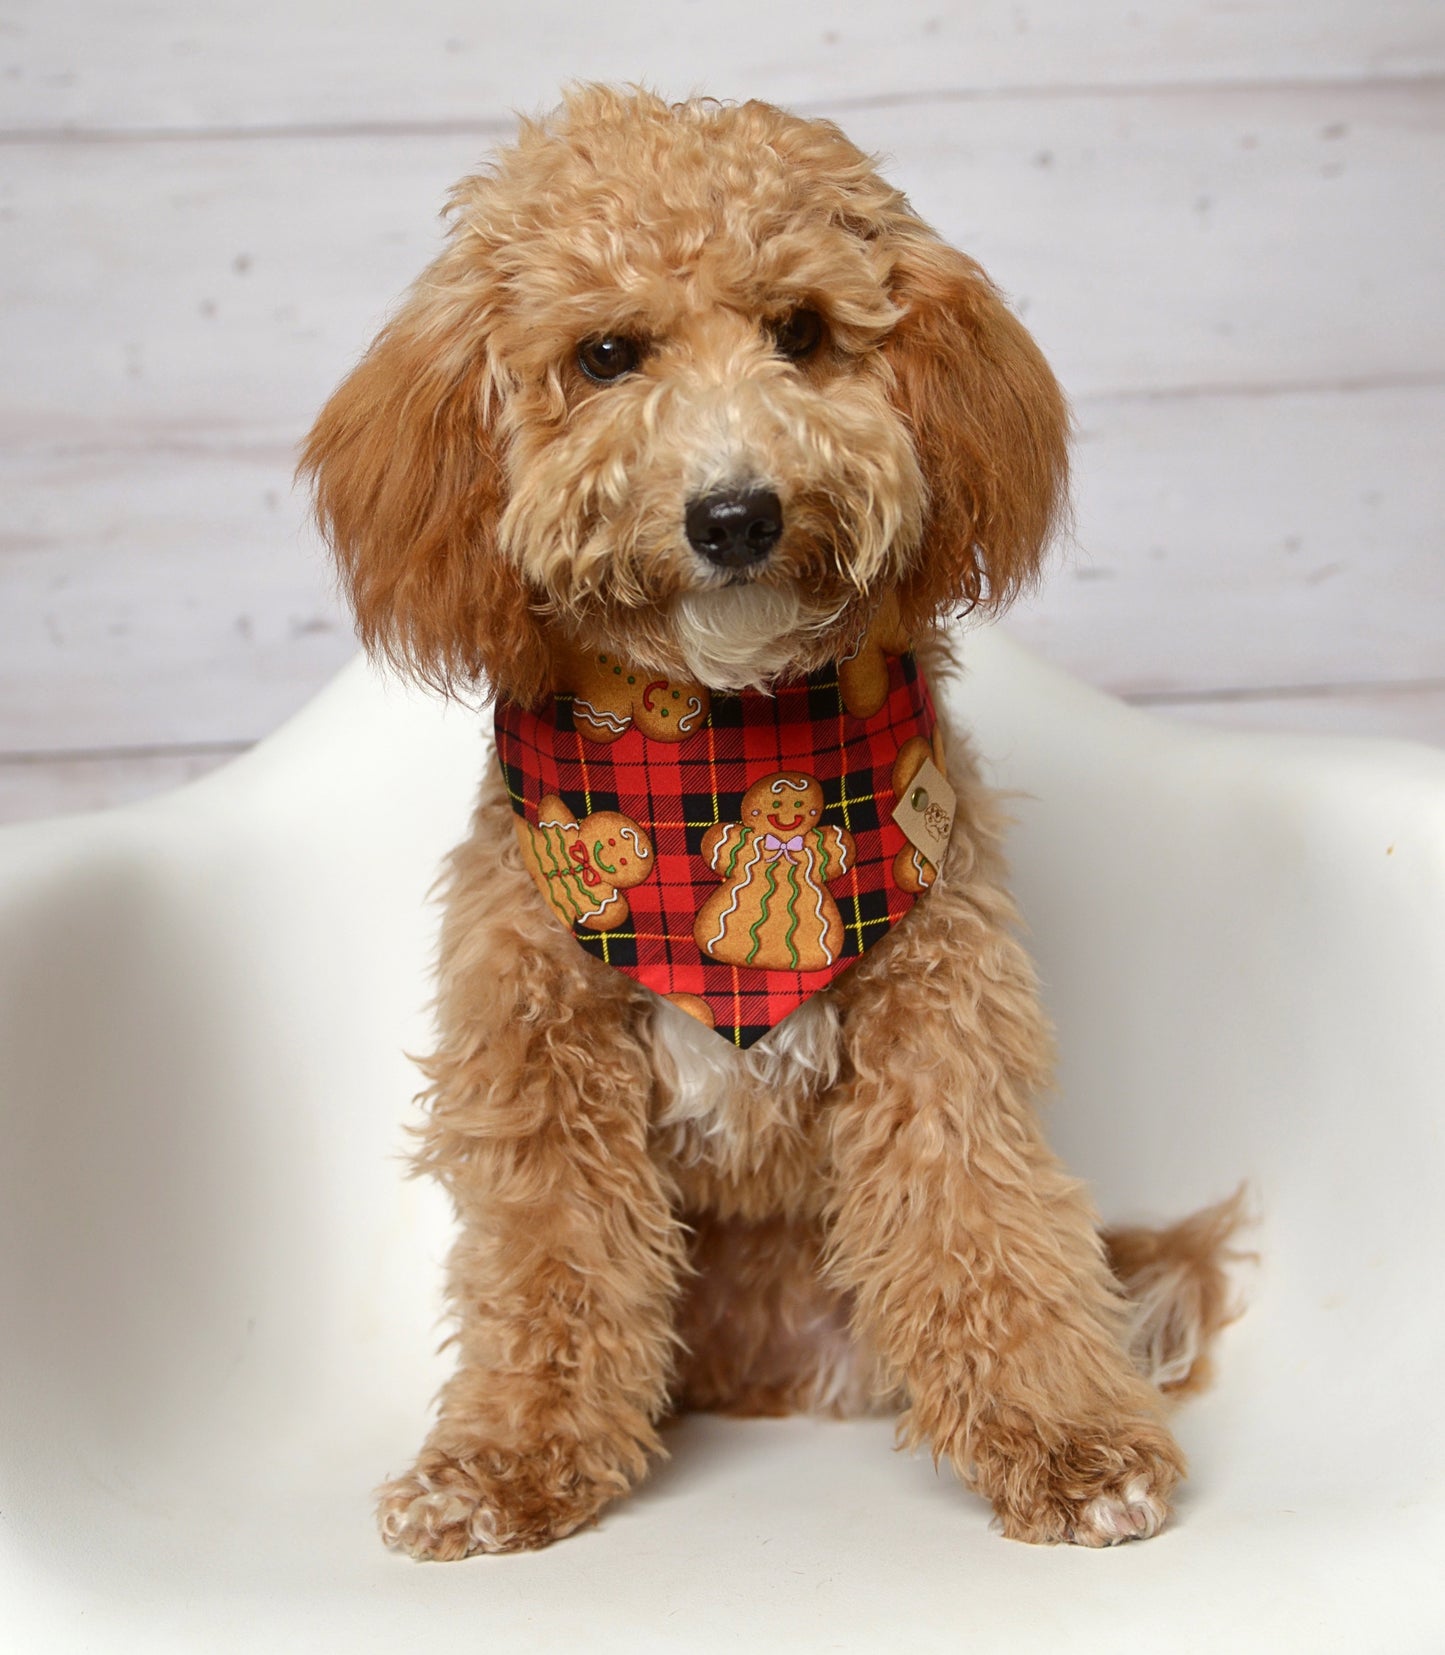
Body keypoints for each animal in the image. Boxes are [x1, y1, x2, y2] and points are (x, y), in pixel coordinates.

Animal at [296, 83, 1238, 1555]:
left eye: (799, 331)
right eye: (606, 354)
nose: (736, 512)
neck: (718, 743)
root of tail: (776, 1367)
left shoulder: (940, 1025)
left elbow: (982, 1223)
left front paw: (1066, 1439)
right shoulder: (537, 1045)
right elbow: (549, 1261)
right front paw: (504, 1462)